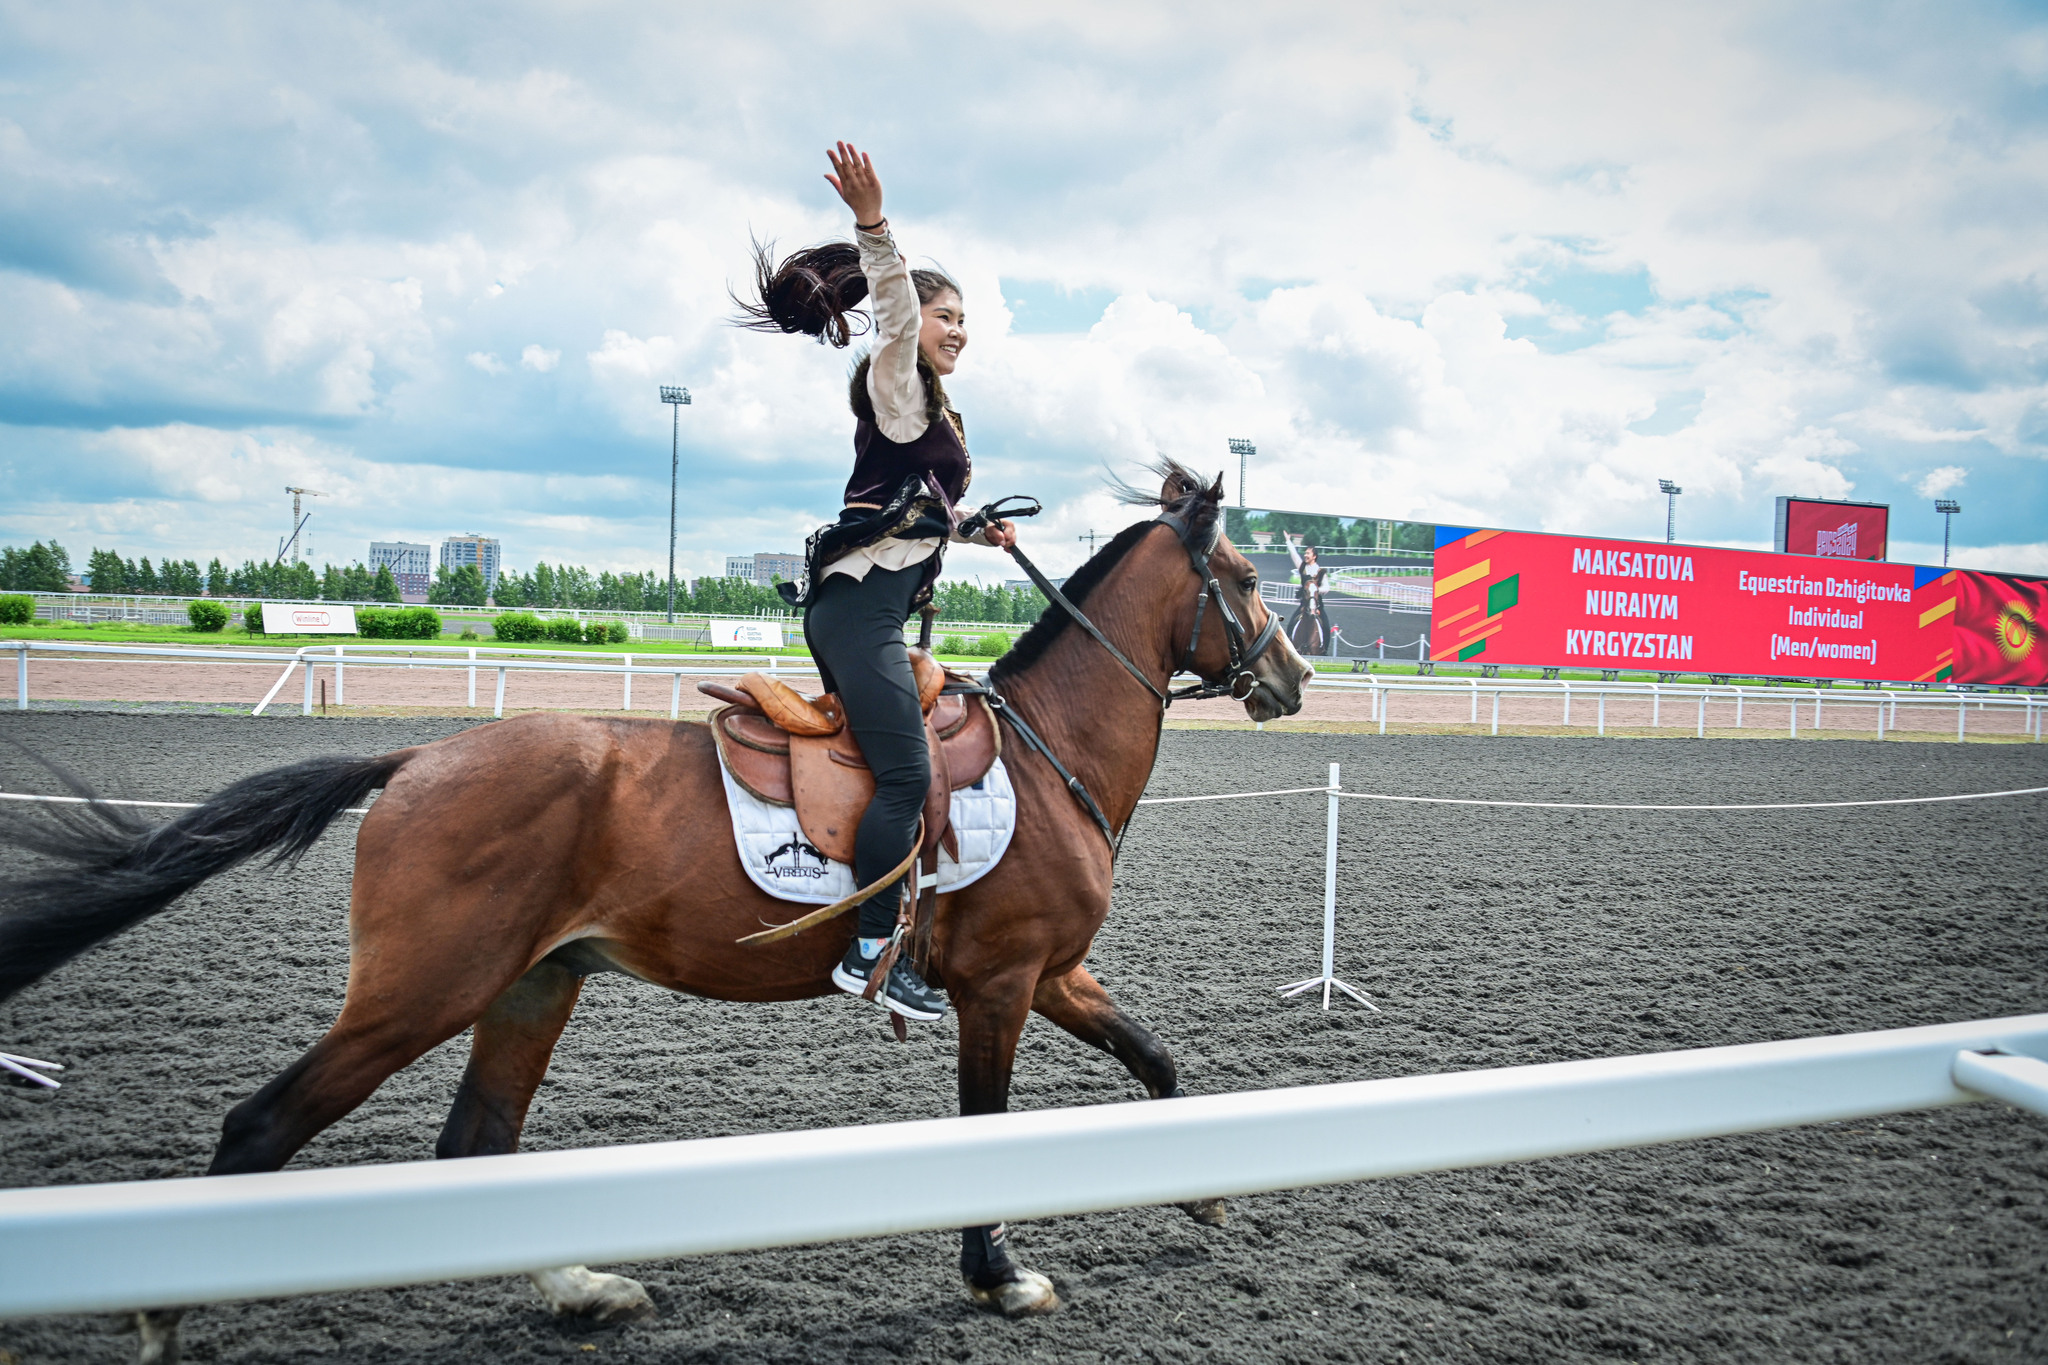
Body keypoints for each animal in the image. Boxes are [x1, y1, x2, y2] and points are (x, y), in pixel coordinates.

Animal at [0, 466, 1310, 1358]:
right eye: (1247, 581)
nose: (1292, 678)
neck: (1046, 758)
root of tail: (418, 757)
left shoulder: (1051, 974)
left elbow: (1156, 1057)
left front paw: (1201, 1181)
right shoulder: (997, 988)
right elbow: (983, 1137)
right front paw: (997, 1277)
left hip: (532, 984)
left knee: (474, 1145)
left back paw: (583, 1288)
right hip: (420, 993)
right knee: (259, 1130)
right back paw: (163, 1317)